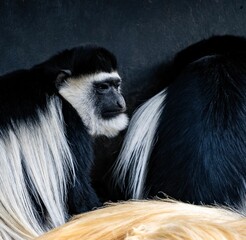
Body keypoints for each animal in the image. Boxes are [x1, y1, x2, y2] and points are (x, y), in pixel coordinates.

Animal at [0, 44, 129, 238]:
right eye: (103, 87)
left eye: (116, 85)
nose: (120, 102)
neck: (58, 92)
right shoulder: (69, 125)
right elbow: (77, 191)